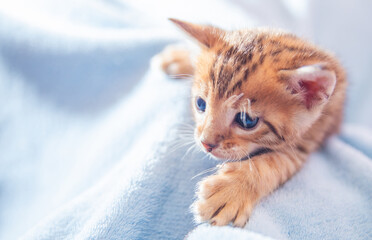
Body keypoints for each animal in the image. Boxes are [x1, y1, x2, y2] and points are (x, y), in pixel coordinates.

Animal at [158, 19, 348, 227]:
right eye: (200, 104)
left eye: (246, 120)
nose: (206, 143)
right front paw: (184, 57)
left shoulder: (309, 139)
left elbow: (274, 164)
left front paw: (230, 191)